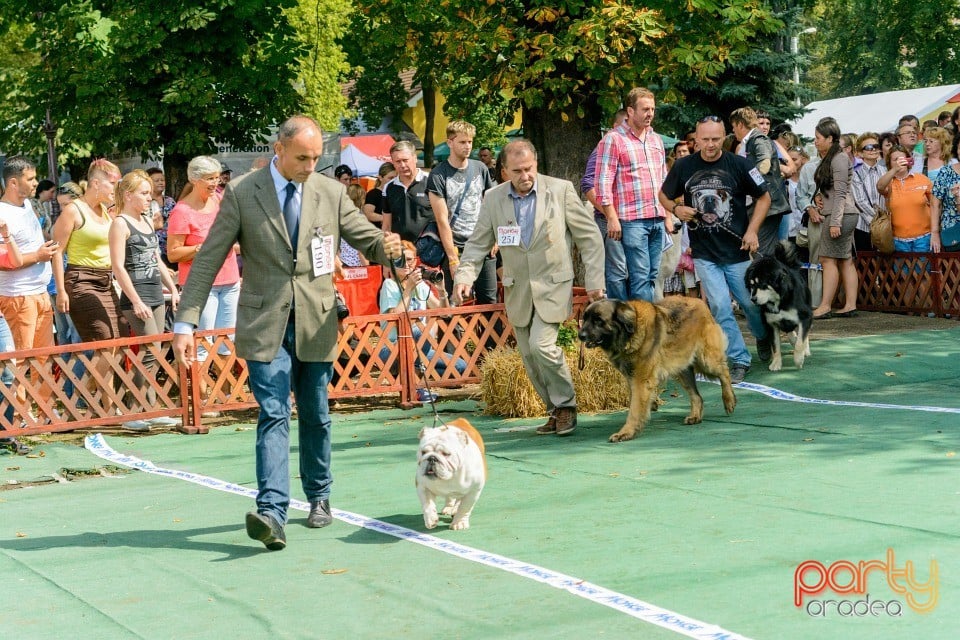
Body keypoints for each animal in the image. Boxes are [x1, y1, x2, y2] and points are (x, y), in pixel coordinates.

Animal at [576, 298, 736, 442]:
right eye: (585, 318)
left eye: (598, 320)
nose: (580, 335)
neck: (632, 331)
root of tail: (701, 302)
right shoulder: (632, 379)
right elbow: (635, 404)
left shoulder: (641, 381)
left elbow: (634, 409)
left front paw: (626, 432)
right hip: (681, 368)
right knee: (697, 396)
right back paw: (695, 416)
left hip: (707, 360)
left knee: (724, 371)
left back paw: (729, 400)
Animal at [744, 240, 808, 370]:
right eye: (751, 285)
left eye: (762, 284)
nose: (753, 299)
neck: (780, 301)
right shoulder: (772, 324)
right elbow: (775, 346)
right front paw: (776, 363)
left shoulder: (805, 317)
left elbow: (800, 341)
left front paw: (799, 359)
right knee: (791, 333)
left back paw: (806, 350)